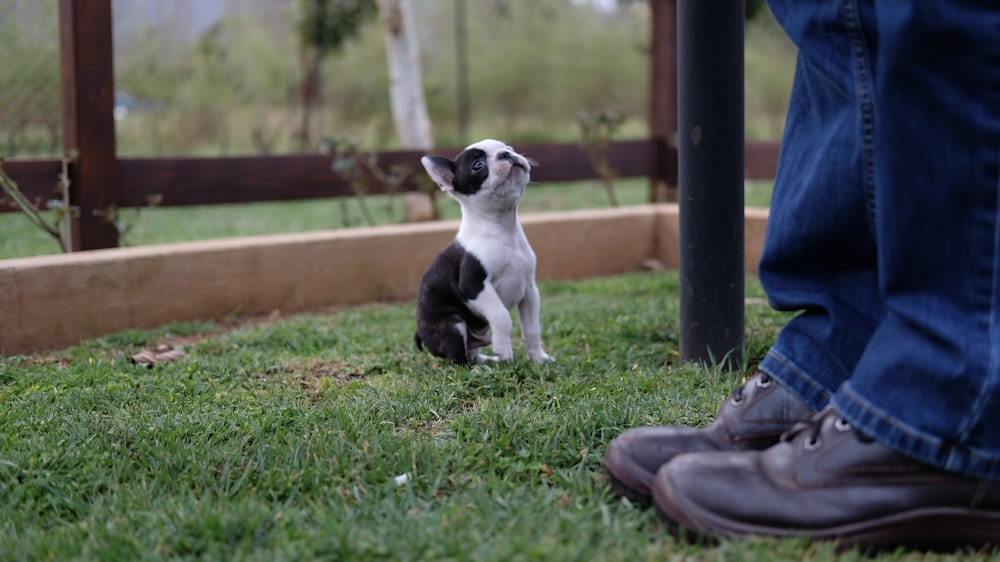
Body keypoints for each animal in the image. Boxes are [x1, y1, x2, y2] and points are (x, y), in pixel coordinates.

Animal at [414, 137, 556, 364]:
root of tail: (419, 332)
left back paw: (488, 362)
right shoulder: (474, 286)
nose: (506, 154)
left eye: (509, 148)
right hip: (452, 326)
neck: (503, 229)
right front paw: (504, 349)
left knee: (471, 352)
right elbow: (502, 316)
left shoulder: (530, 291)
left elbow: (532, 329)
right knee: (457, 360)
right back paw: (481, 366)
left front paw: (539, 359)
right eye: (478, 165)